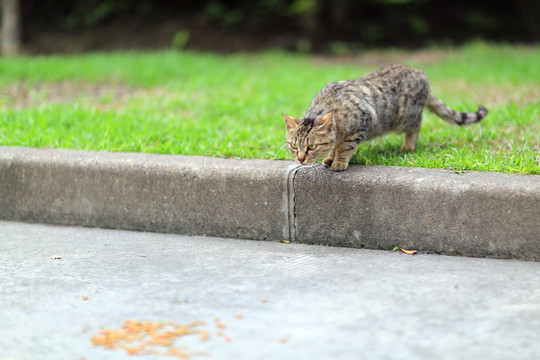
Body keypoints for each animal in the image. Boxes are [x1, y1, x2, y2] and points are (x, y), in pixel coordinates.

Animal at [282, 64, 490, 172]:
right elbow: (335, 146)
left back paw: (408, 145)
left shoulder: (360, 126)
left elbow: (345, 147)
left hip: (405, 118)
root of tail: (422, 74)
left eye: (312, 147)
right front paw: (330, 157)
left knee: (418, 123)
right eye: (293, 146)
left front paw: (339, 161)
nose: (300, 159)